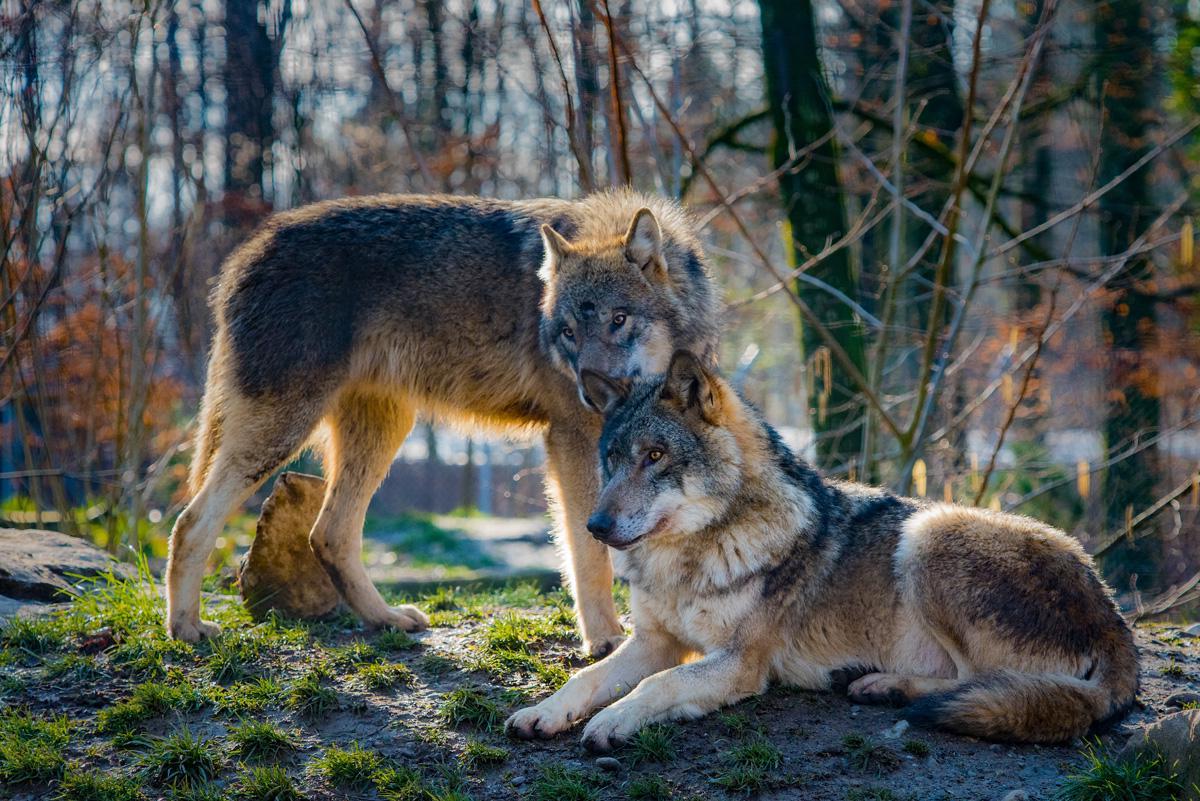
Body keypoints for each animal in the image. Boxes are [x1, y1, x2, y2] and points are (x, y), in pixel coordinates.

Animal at [165, 192, 720, 654]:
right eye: (566, 333)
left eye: (618, 320)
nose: (590, 391)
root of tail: (244, 253)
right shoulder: (572, 439)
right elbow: (589, 551)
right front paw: (604, 640)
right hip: (283, 431)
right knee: (191, 522)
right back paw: (186, 629)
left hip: (382, 432)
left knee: (328, 534)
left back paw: (386, 619)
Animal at [506, 351, 1138, 747]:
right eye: (612, 460)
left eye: (656, 456)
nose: (595, 525)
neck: (690, 557)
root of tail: (1113, 616)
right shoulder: (654, 641)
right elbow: (587, 679)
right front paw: (544, 712)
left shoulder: (741, 663)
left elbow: (656, 685)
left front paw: (613, 722)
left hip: (929, 532)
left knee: (977, 682)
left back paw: (884, 685)